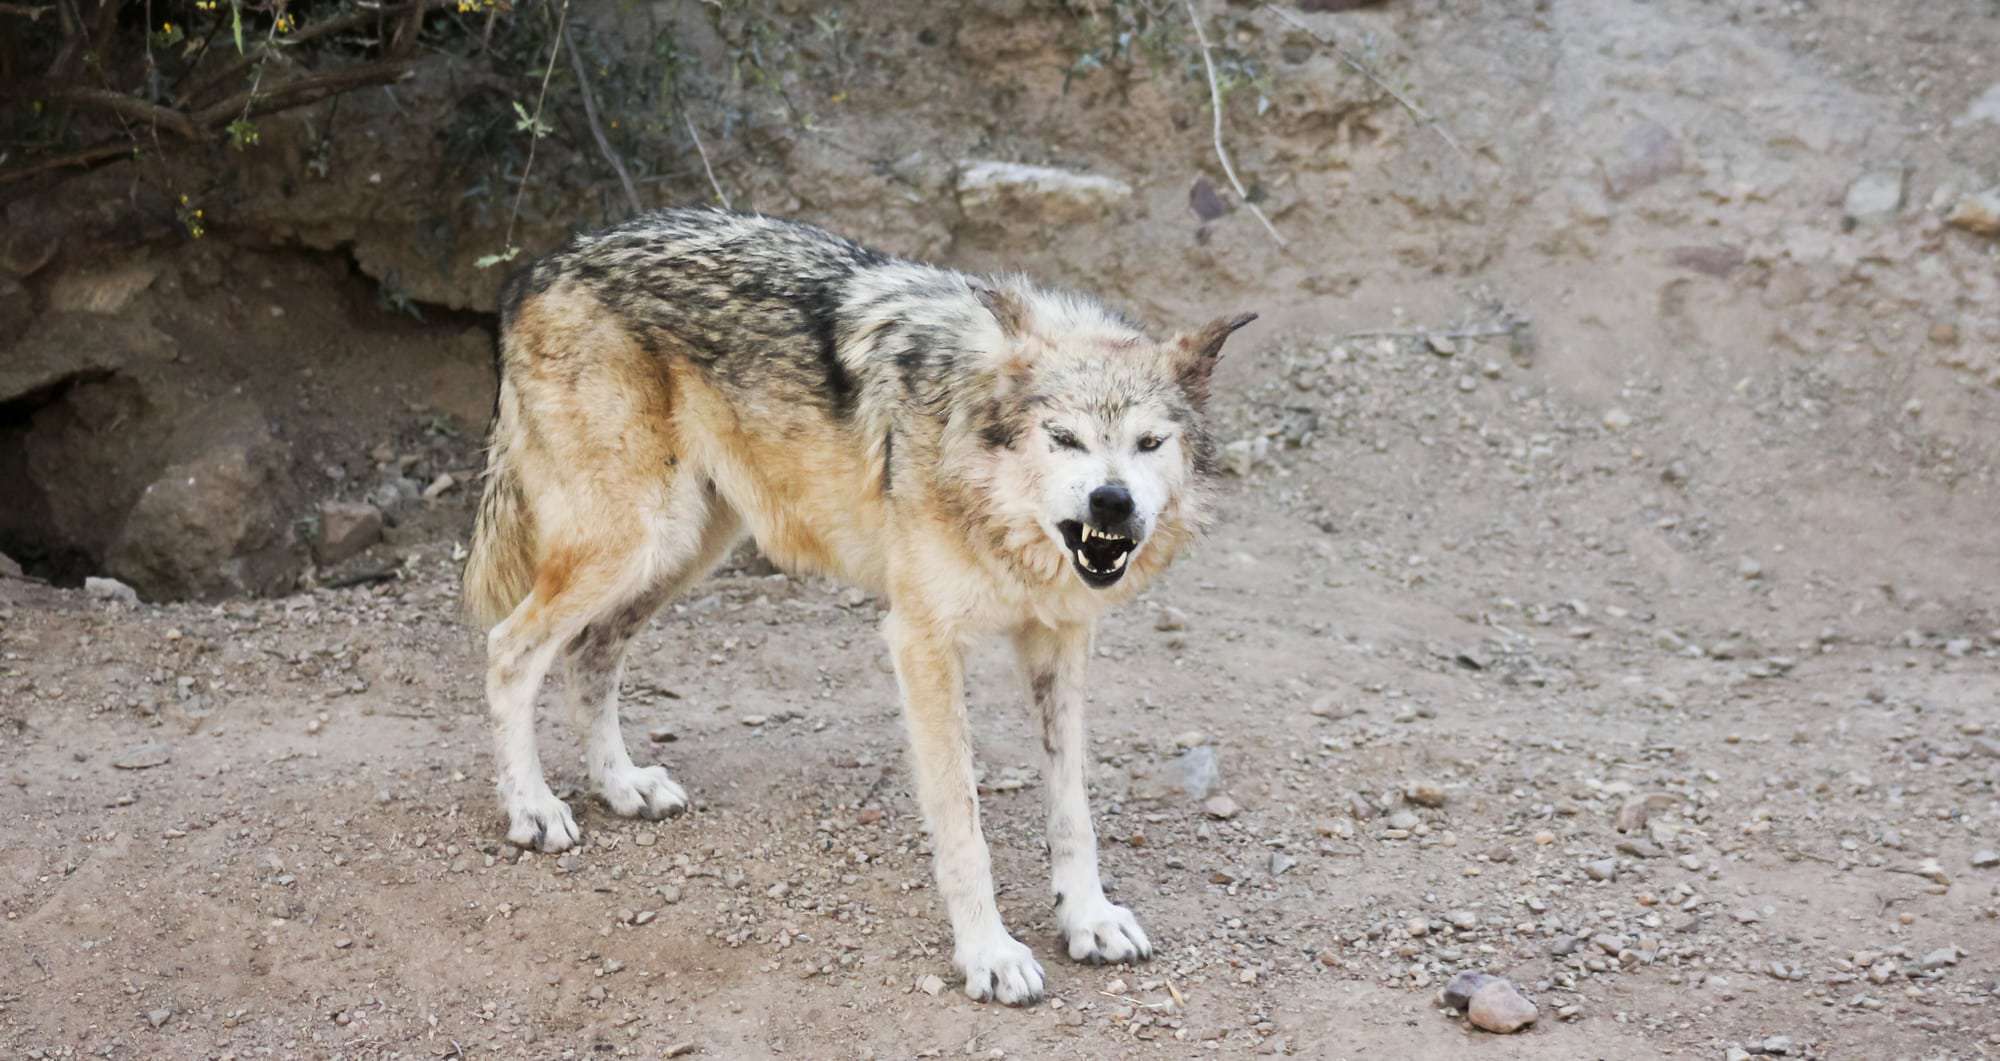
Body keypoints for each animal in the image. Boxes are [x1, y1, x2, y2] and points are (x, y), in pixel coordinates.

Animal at [461, 206, 1253, 1004]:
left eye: (1150, 442)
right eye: (1064, 438)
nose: (1111, 502)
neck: (998, 509)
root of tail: (540, 267)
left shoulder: (1058, 640)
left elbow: (1073, 810)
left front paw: (1088, 919)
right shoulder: (922, 640)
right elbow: (963, 824)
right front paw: (989, 954)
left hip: (679, 550)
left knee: (589, 657)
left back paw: (621, 785)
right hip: (635, 542)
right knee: (509, 649)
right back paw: (532, 810)